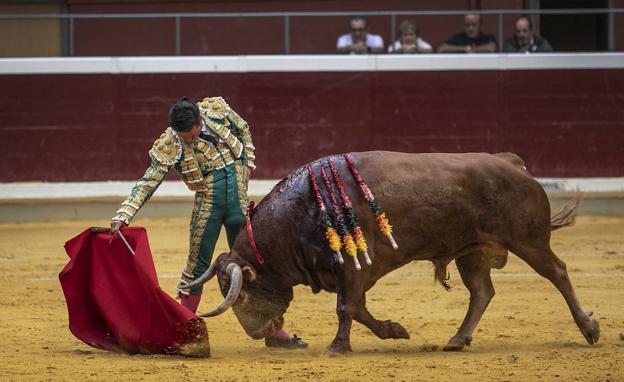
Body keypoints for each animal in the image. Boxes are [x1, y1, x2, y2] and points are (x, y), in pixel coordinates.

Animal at [180, 151, 600, 354]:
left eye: (242, 293)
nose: (255, 332)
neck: (305, 210)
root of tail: (512, 163)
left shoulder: (352, 268)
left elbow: (347, 308)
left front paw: (337, 347)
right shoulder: (353, 272)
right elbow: (360, 309)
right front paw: (393, 331)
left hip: (528, 240)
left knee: (558, 272)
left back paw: (589, 328)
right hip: (472, 252)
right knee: (482, 292)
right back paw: (457, 340)